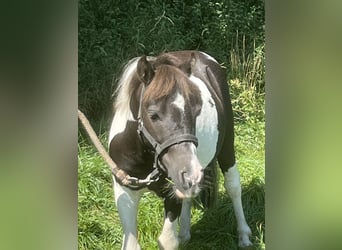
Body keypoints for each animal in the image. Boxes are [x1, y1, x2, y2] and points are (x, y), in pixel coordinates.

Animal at [108, 50, 252, 248]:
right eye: (153, 114)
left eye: (197, 110)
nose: (189, 172)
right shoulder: (124, 191)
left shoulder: (172, 194)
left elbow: (167, 241)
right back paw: (184, 234)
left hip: (227, 147)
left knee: (233, 187)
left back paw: (244, 235)